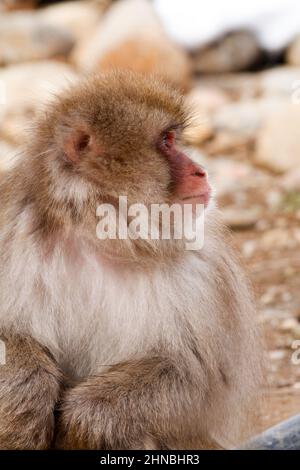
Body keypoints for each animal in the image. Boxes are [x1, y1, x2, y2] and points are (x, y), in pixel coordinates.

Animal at [0, 71, 262, 450]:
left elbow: (197, 378)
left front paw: (87, 415)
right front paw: (29, 388)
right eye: (167, 141)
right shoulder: (10, 235)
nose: (200, 171)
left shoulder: (202, 272)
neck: (98, 235)